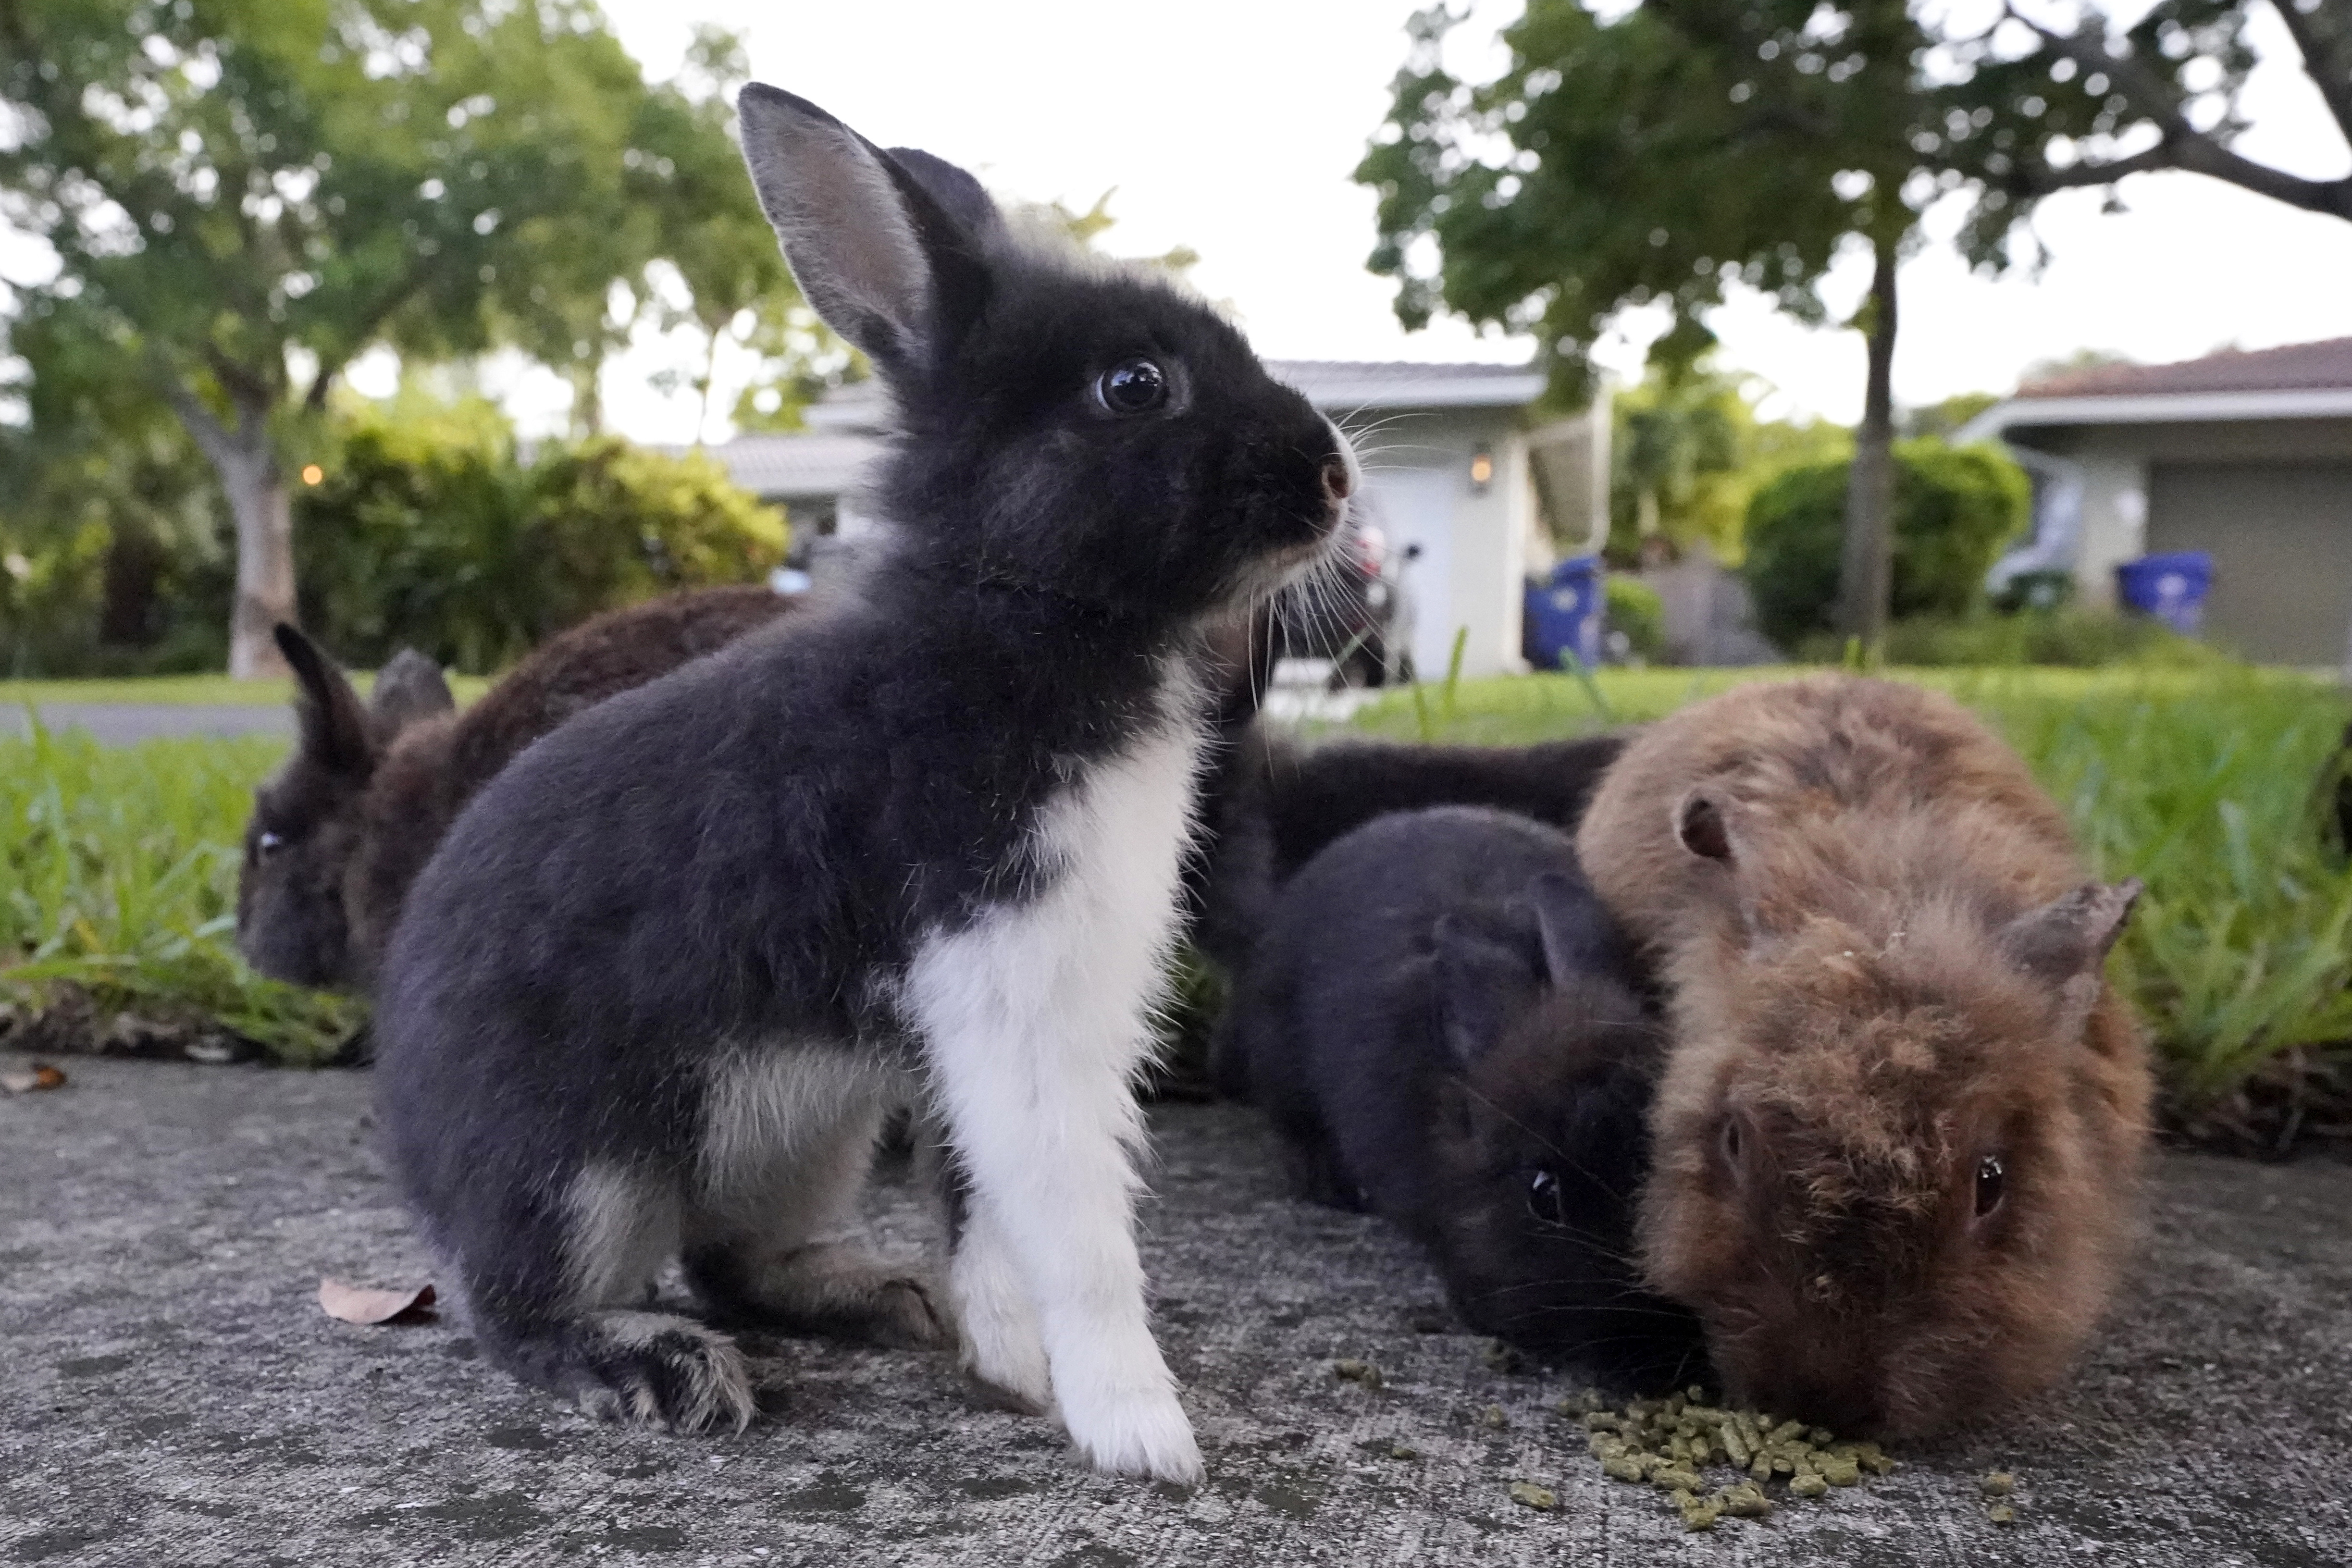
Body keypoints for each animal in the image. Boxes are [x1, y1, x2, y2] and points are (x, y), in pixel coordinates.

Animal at [374, 86, 1354, 1485]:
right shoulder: (1011, 986)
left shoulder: (980, 1023)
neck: (1020, 615)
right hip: (579, 1172)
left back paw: (886, 1298)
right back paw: (658, 1367)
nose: (1333, 477)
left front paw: (1010, 1363)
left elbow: (987, 1206)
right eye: (1134, 385)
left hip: (806, 1130)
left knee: (731, 1261)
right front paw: (1141, 1432)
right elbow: (1074, 1224)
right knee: (516, 1307)